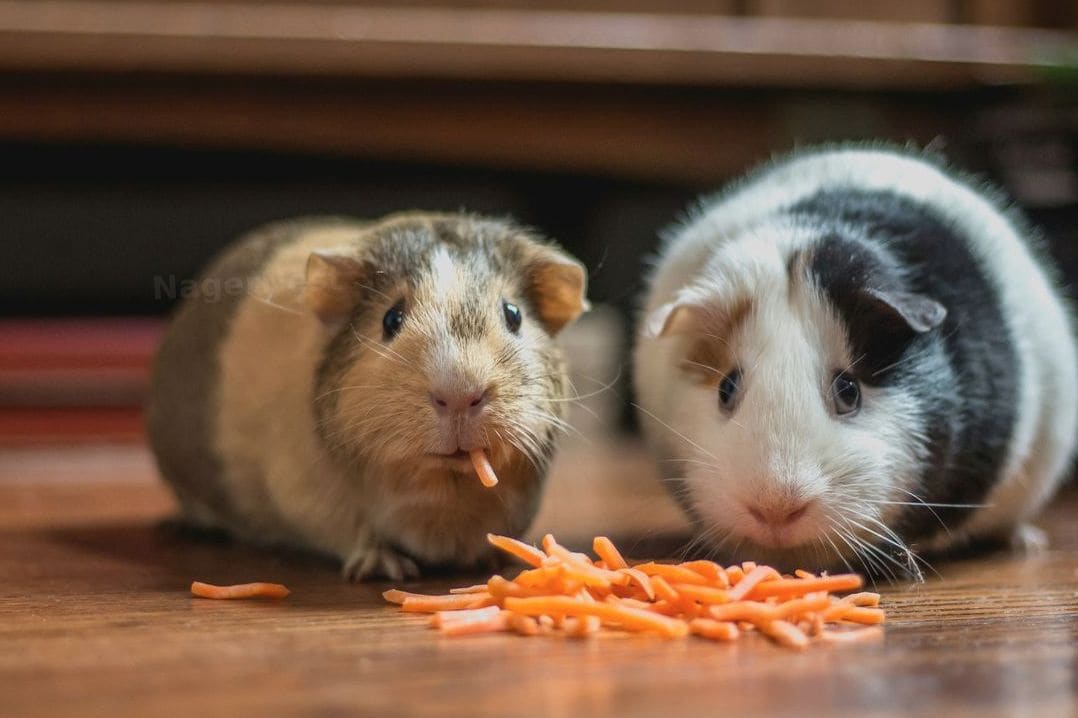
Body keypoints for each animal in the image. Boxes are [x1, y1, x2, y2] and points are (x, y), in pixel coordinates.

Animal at [148, 212, 588, 580]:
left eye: (513, 314)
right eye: (391, 319)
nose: (460, 394)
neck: (445, 493)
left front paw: (493, 558)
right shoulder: (310, 500)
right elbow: (358, 534)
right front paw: (387, 569)